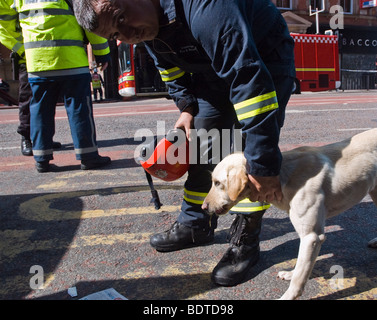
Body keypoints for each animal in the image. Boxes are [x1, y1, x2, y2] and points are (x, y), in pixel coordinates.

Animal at [201, 128, 376, 300]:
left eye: (217, 183)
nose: (203, 206)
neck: (282, 177)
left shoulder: (311, 237)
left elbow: (299, 277)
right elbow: (300, 266)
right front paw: (291, 273)